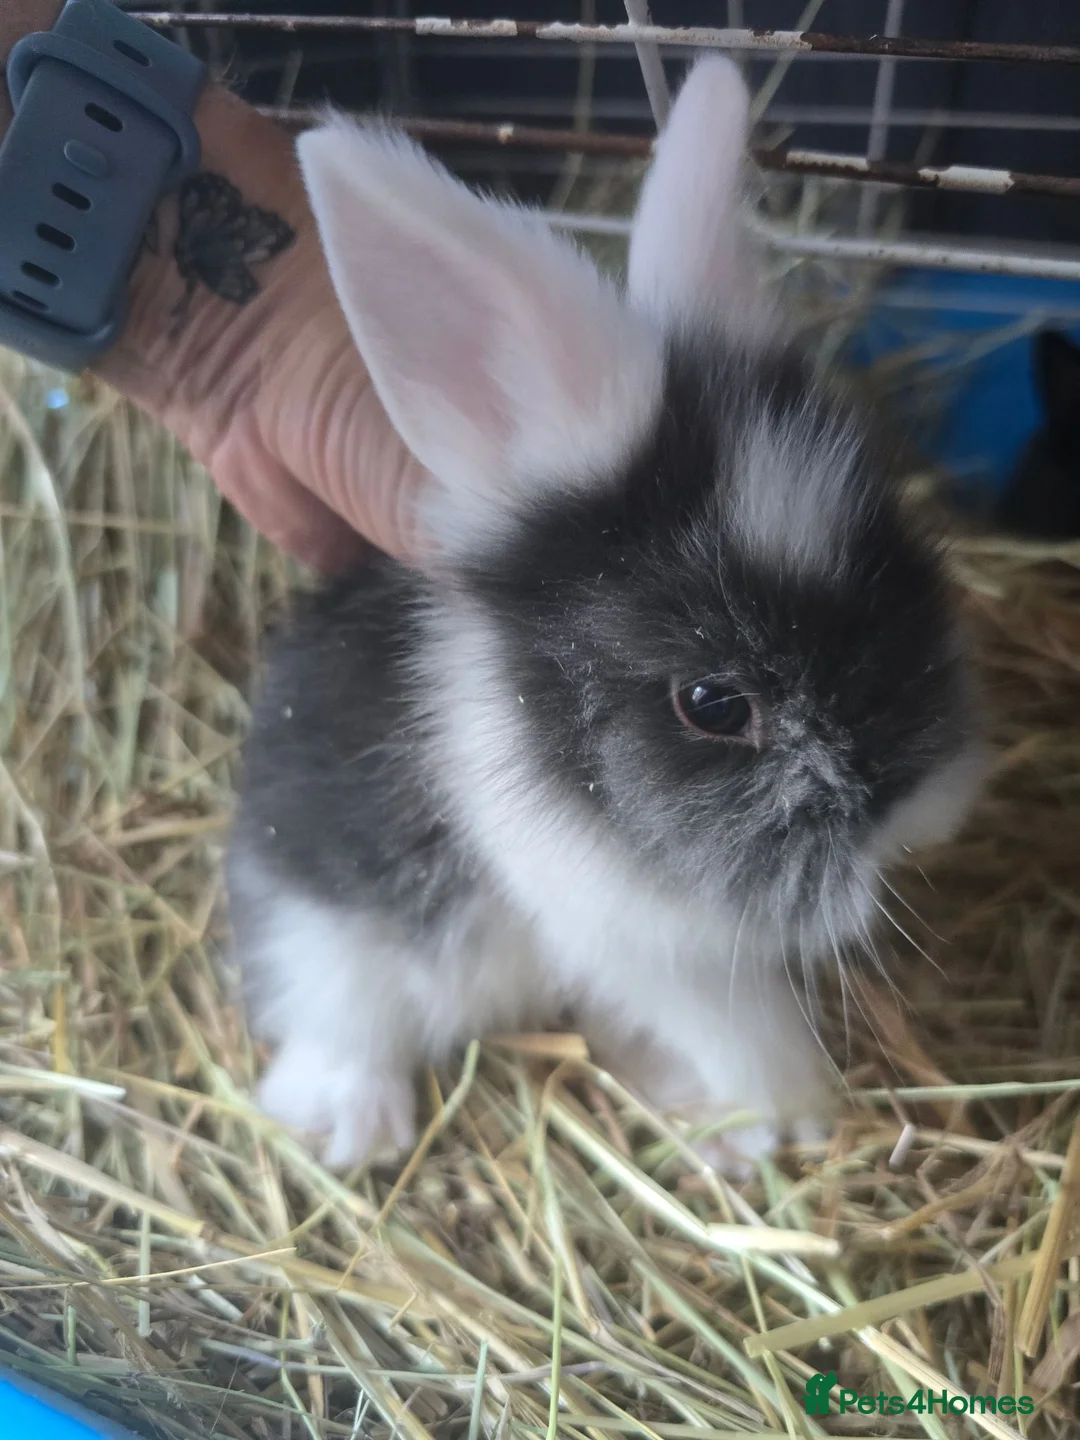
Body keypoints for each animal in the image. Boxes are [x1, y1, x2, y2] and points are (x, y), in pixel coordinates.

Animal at [226, 56, 987, 1175]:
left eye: (913, 574)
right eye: (714, 704)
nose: (913, 814)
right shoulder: (635, 939)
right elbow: (747, 1026)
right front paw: (798, 1114)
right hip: (329, 939)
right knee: (339, 1024)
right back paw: (357, 1128)